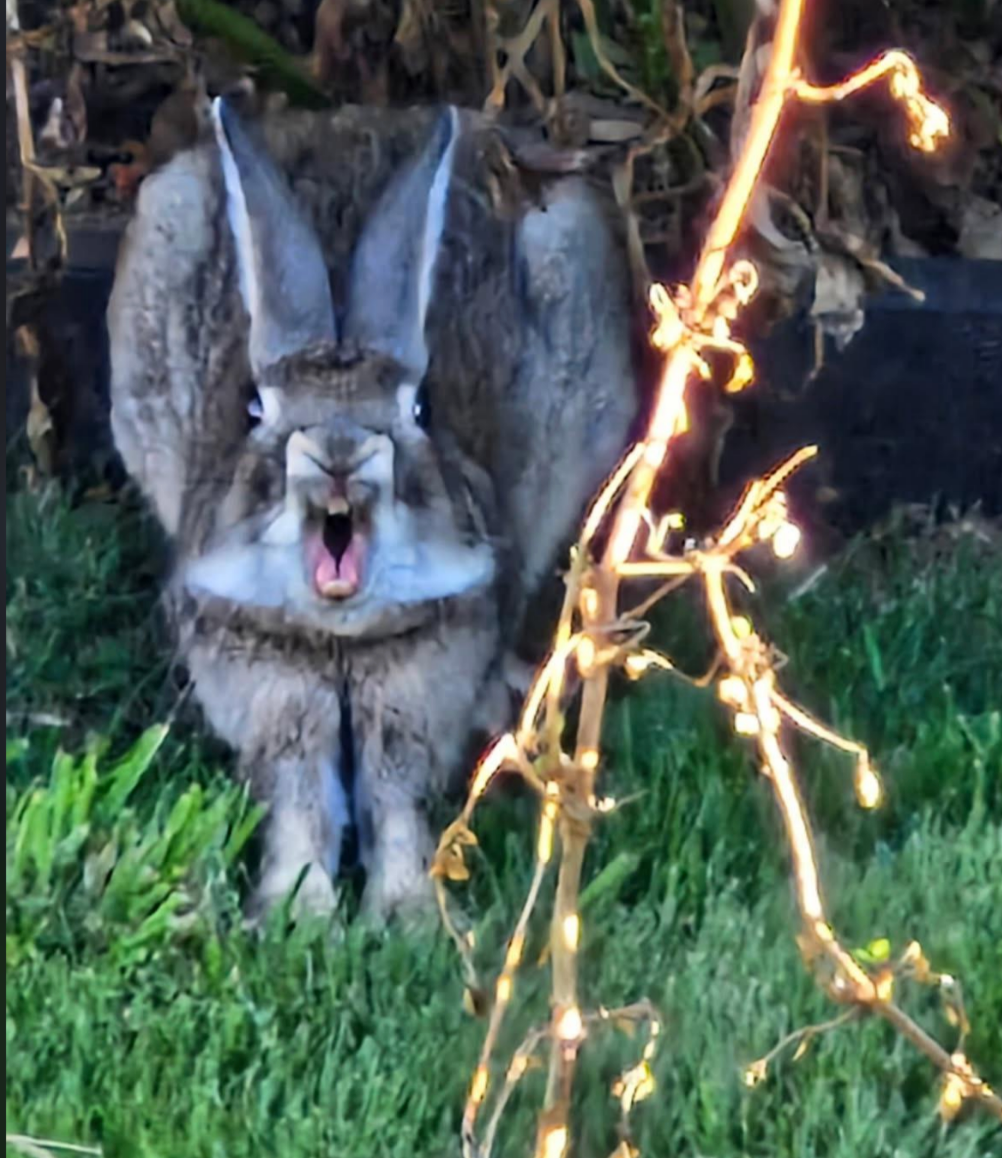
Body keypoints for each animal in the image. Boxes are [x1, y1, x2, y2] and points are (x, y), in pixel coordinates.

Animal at [107, 98, 637, 920]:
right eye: (255, 409)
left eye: (419, 409)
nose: (338, 450)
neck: (340, 637)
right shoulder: (279, 703)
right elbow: (301, 801)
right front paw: (298, 912)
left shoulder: (412, 702)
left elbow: (394, 800)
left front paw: (406, 914)